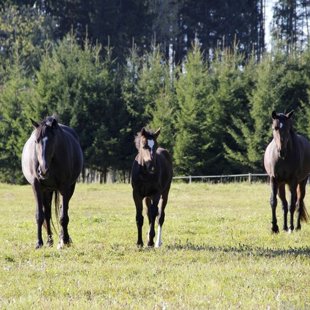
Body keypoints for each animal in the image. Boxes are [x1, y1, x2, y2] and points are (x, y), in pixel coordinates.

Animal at [21, 116, 83, 249]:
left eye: (52, 141)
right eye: (36, 141)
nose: (43, 171)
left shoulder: (65, 186)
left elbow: (63, 216)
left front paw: (65, 240)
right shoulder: (36, 186)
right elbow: (40, 216)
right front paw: (39, 242)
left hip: (68, 188)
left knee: (62, 210)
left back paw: (62, 238)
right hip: (46, 191)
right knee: (48, 214)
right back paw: (49, 241)